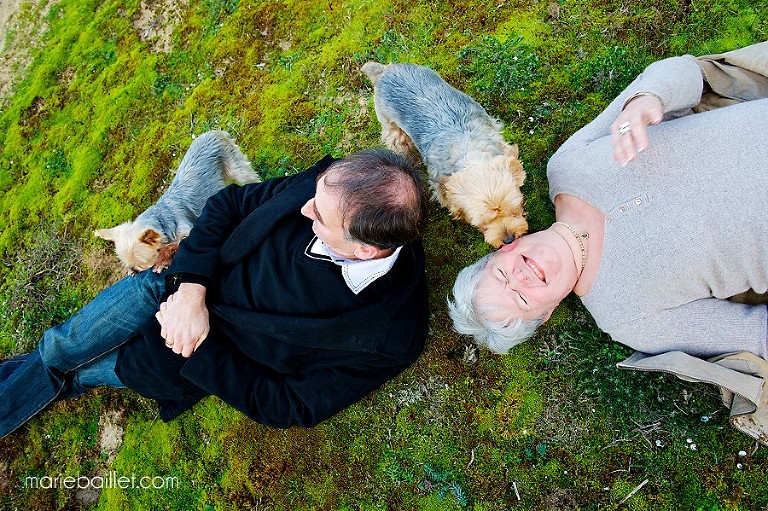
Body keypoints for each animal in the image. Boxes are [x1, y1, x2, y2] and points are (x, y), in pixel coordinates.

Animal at [95, 130, 258, 274]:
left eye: (143, 263)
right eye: (129, 265)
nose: (134, 271)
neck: (161, 220)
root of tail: (213, 132)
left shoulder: (189, 233)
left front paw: (163, 260)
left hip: (236, 167)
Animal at [362, 61, 528, 246]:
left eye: (516, 209)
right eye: (483, 223)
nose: (508, 239)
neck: (469, 149)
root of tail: (385, 70)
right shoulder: (440, 185)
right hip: (392, 127)